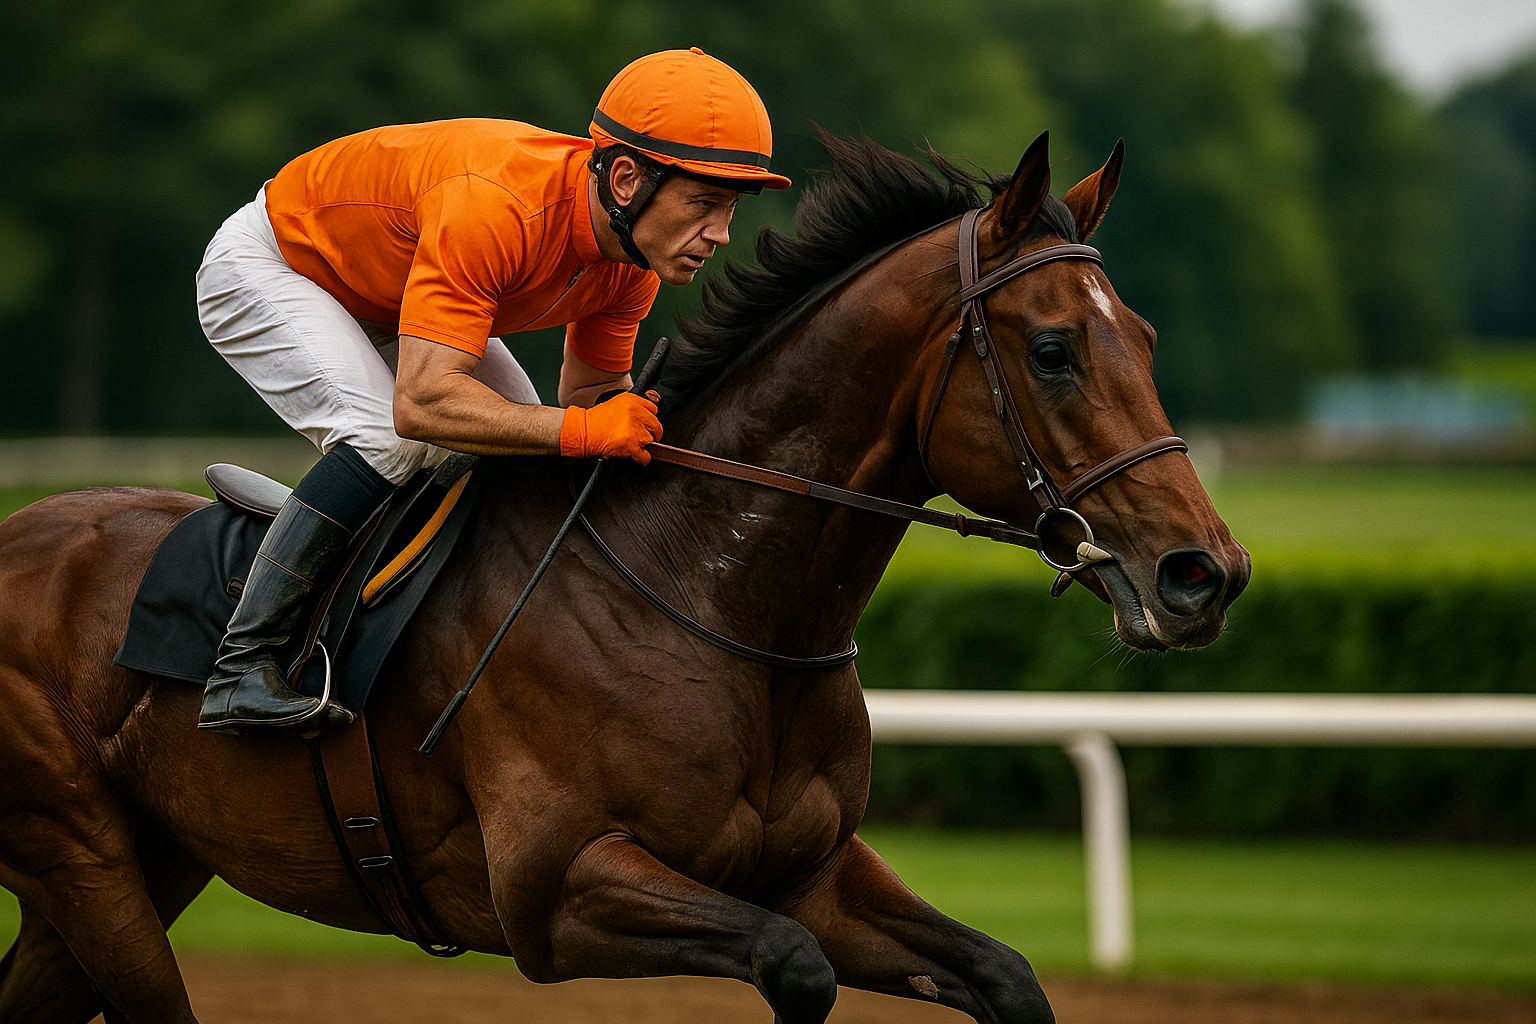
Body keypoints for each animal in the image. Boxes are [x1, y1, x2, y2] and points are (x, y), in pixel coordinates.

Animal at [0, 128, 1249, 1024]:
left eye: (1141, 336)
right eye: (1054, 349)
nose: (1205, 573)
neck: (703, 592)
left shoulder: (811, 871)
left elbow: (1003, 976)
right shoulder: (557, 890)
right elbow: (795, 968)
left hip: (140, 862)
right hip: (84, 855)